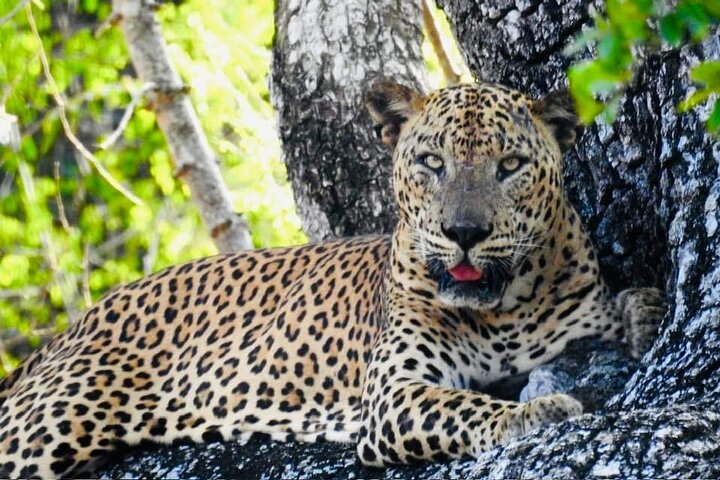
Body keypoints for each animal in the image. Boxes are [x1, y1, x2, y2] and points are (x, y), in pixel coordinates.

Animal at [0, 80, 665, 477]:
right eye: (432, 162)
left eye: (511, 165)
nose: (465, 232)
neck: (503, 311)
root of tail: (67, 331)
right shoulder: (393, 395)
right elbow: (467, 406)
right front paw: (538, 412)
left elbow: (618, 315)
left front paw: (647, 311)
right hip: (48, 424)